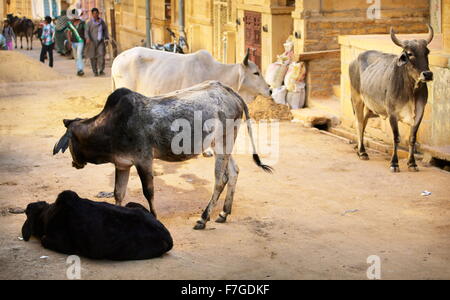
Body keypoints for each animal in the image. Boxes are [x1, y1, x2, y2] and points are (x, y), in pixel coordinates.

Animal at [52, 81, 270, 231]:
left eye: (69, 143)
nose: (74, 163)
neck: (110, 125)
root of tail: (230, 91)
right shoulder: (122, 165)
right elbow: (118, 193)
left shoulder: (143, 160)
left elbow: (148, 192)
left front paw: (155, 218)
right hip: (221, 144)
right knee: (233, 172)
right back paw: (224, 213)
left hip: (223, 142)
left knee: (220, 179)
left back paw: (203, 218)